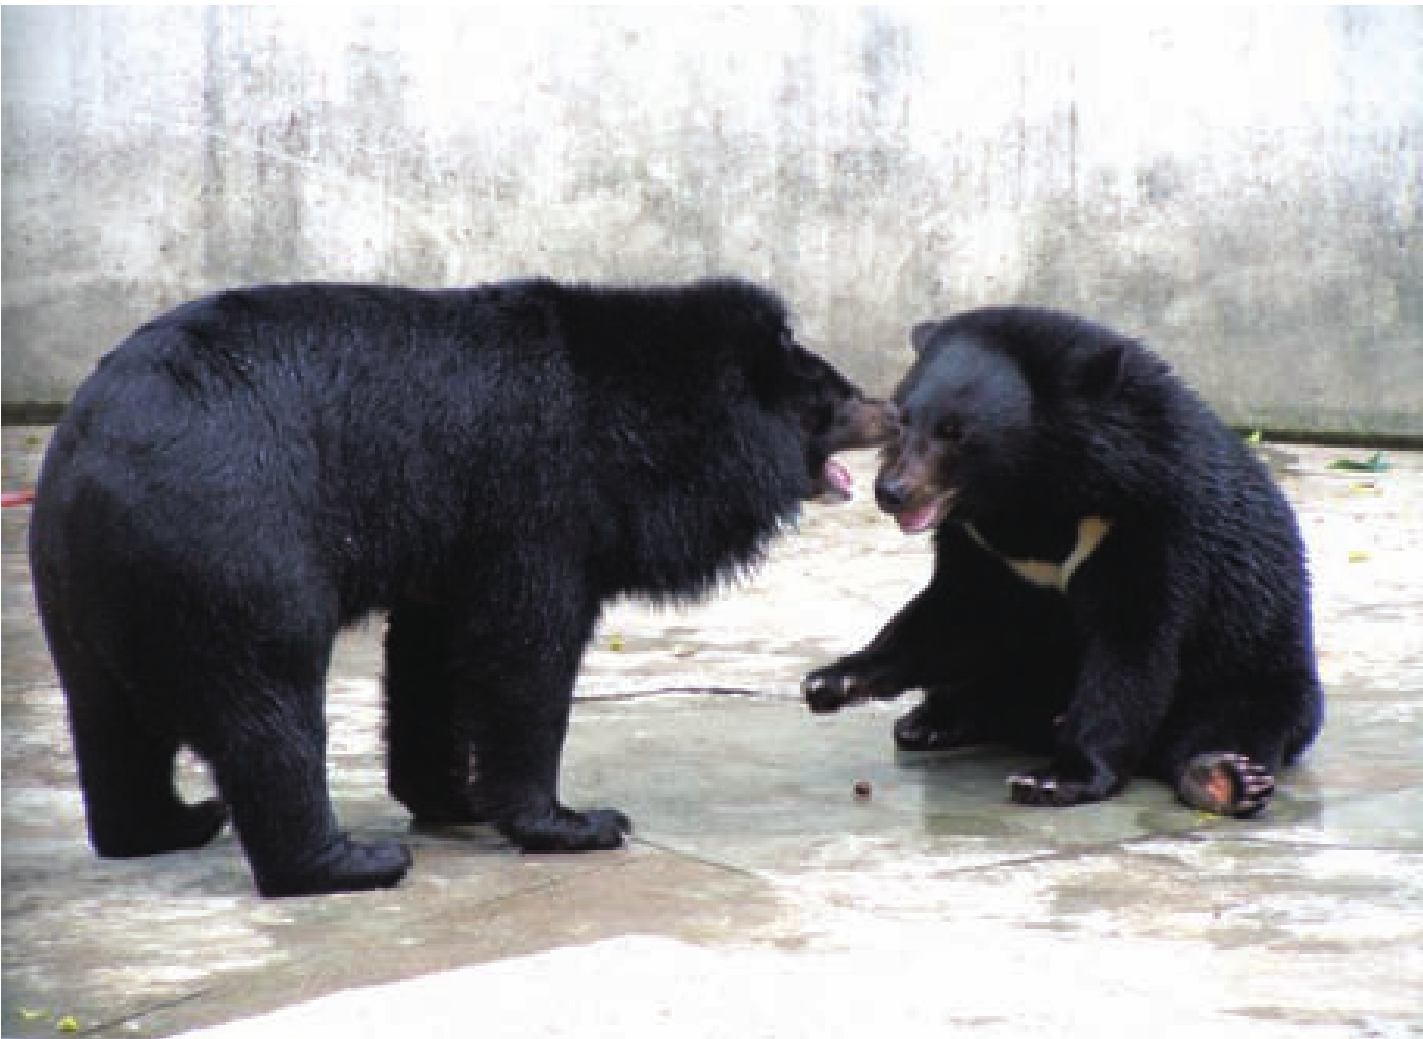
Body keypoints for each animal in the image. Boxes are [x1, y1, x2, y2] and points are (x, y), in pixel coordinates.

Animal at [30, 274, 887, 888]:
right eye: (835, 401)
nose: (890, 412)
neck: (634, 427)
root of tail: (84, 453)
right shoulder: (535, 500)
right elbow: (525, 651)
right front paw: (575, 821)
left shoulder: (451, 533)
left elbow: (431, 655)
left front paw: (454, 799)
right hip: (230, 542)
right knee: (268, 701)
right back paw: (347, 862)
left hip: (85, 587)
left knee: (108, 719)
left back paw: (167, 824)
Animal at [808, 303, 1326, 814]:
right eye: (902, 421)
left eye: (954, 432)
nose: (890, 491)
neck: (1034, 490)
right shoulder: (983, 546)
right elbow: (956, 615)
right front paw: (831, 681)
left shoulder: (1147, 519)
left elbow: (1130, 644)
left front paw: (1055, 779)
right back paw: (930, 720)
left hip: (1255, 665)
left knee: (1232, 721)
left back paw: (1223, 777)